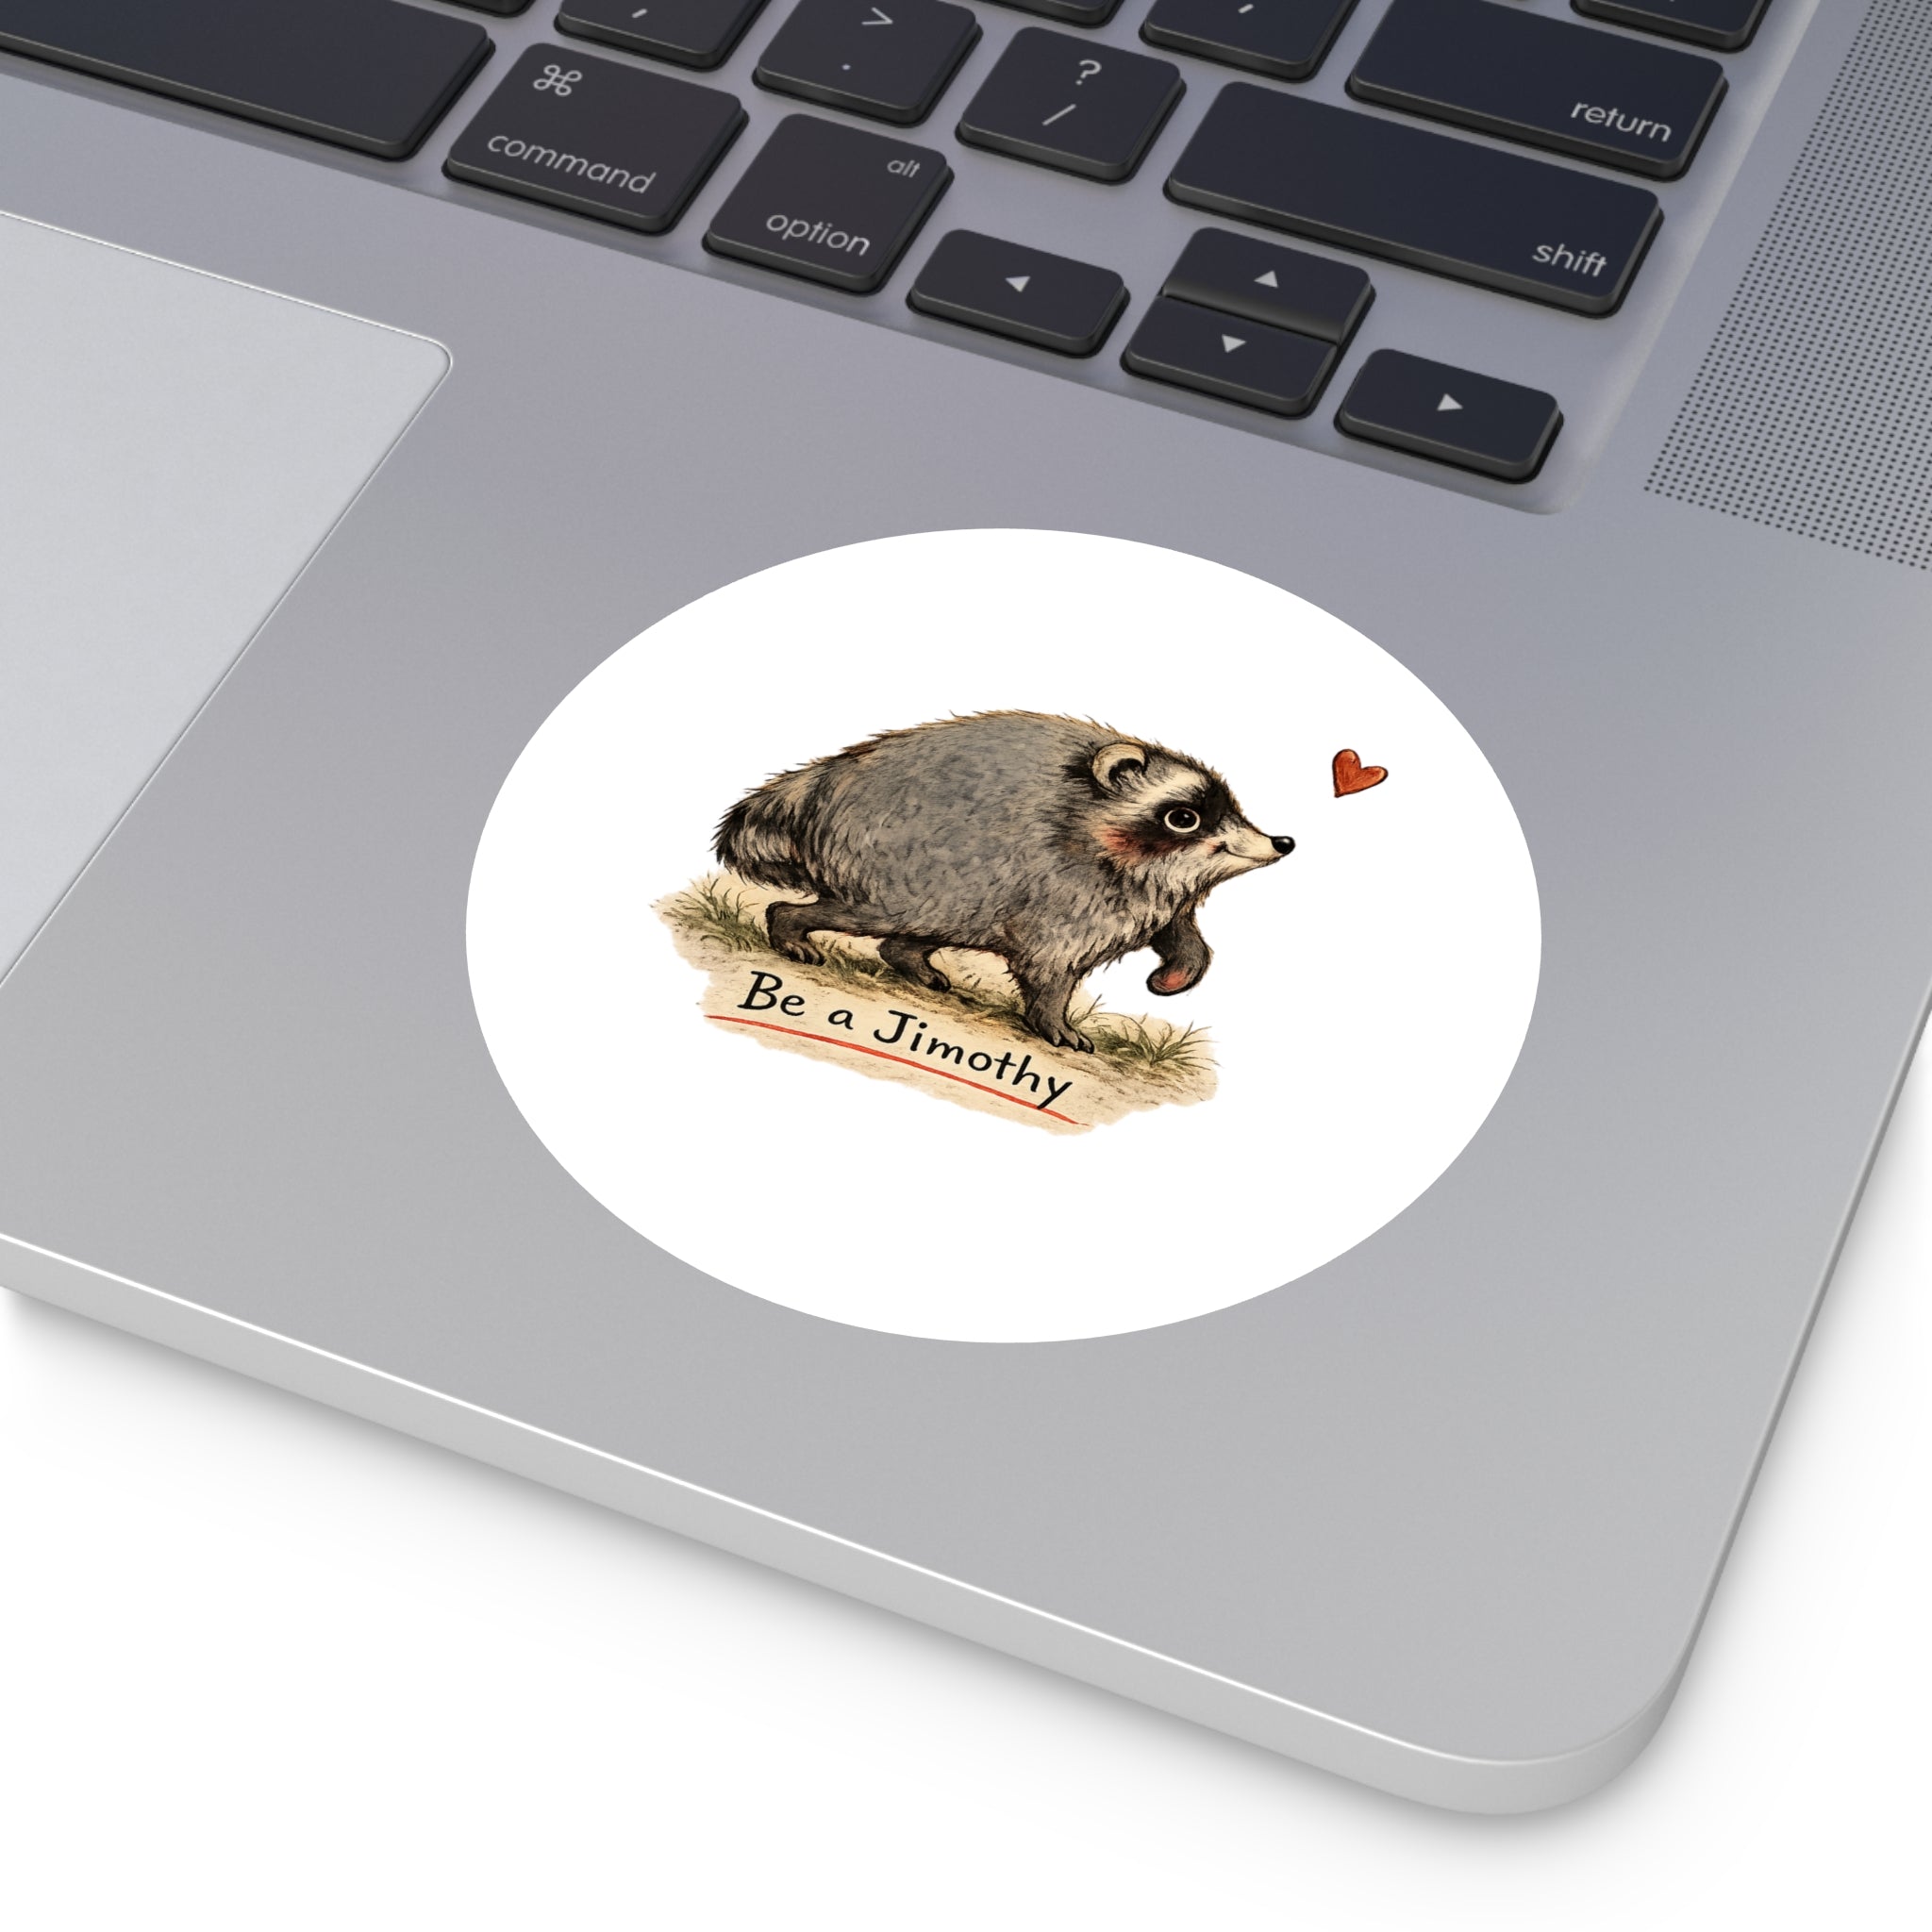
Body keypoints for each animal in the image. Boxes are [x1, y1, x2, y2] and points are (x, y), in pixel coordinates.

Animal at [714, 711, 1293, 1052]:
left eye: (1232, 809)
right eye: (1184, 817)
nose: (1281, 843)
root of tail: (817, 781)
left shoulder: (1139, 895)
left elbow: (1178, 931)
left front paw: (1183, 963)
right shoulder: (1064, 888)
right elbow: (1048, 964)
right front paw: (1053, 1019)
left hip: (950, 888)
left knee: (915, 931)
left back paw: (910, 959)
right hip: (892, 862)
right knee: (860, 912)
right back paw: (791, 925)